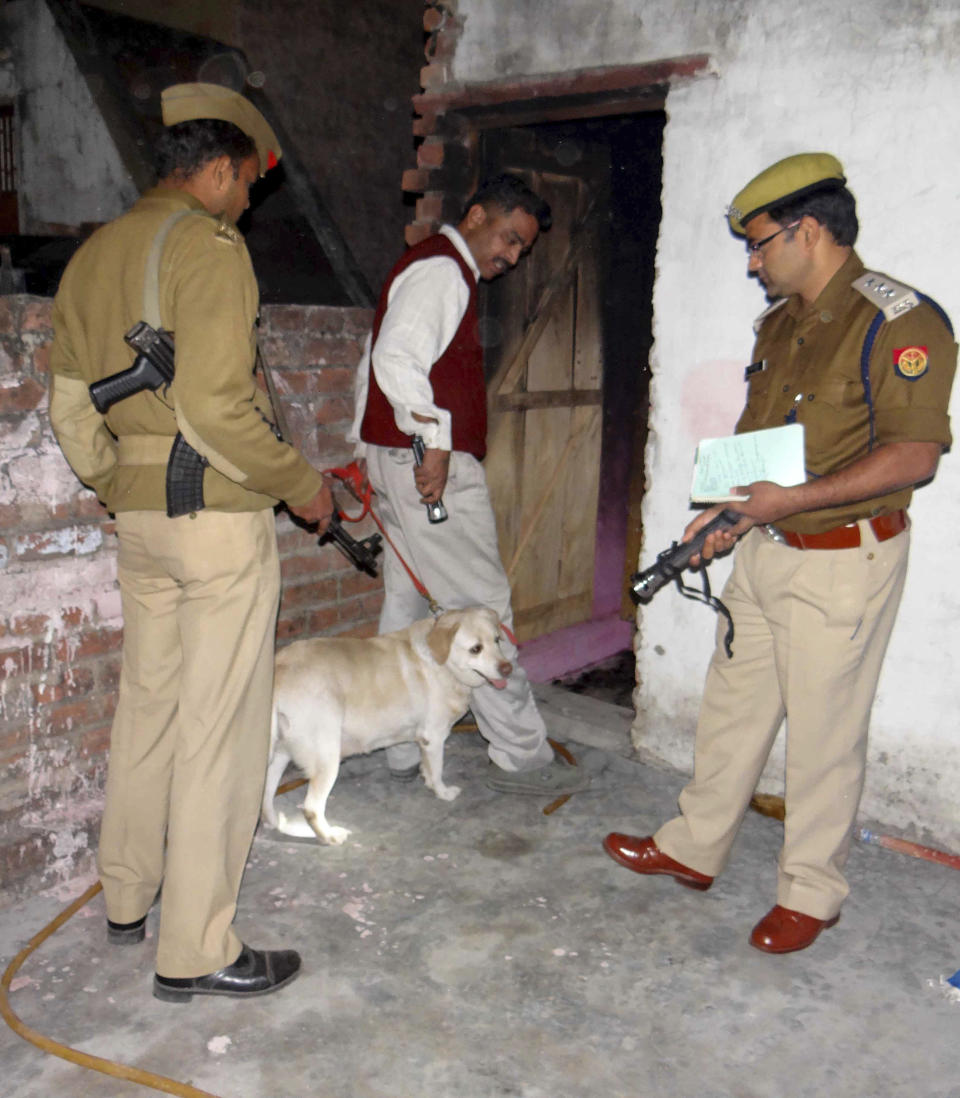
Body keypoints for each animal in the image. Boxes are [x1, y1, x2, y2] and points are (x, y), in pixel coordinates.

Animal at [258, 606, 511, 843]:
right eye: (476, 648)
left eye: (497, 640)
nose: (508, 668)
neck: (442, 662)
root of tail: (278, 672)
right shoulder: (434, 737)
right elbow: (437, 771)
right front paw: (443, 792)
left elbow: (428, 770)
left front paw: (428, 781)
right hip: (327, 757)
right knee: (311, 807)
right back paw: (330, 836)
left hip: (279, 756)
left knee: (266, 797)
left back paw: (280, 825)